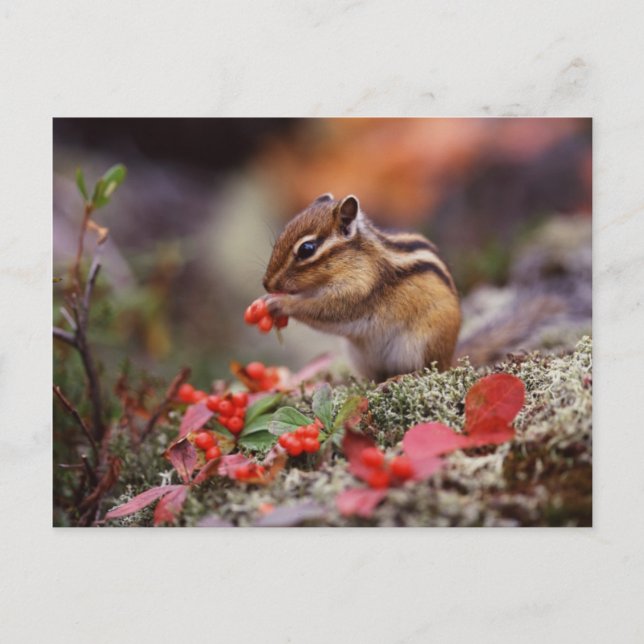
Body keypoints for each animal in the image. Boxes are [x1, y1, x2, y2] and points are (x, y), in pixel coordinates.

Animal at [262, 194, 461, 382]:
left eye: (307, 249)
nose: (266, 284)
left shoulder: (359, 291)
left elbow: (324, 310)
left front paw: (281, 303)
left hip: (422, 344)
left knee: (429, 371)